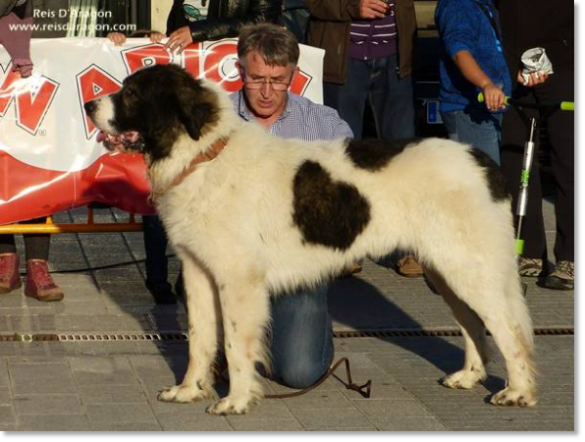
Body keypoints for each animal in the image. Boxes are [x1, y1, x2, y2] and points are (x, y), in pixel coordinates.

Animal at [84, 64, 536, 414]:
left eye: (132, 93)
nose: (88, 106)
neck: (203, 155)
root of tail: (484, 162)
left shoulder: (238, 280)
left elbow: (234, 342)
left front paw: (236, 400)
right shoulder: (197, 274)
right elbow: (200, 338)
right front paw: (189, 390)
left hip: (468, 270)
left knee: (509, 327)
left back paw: (519, 391)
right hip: (447, 272)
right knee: (474, 324)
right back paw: (469, 377)